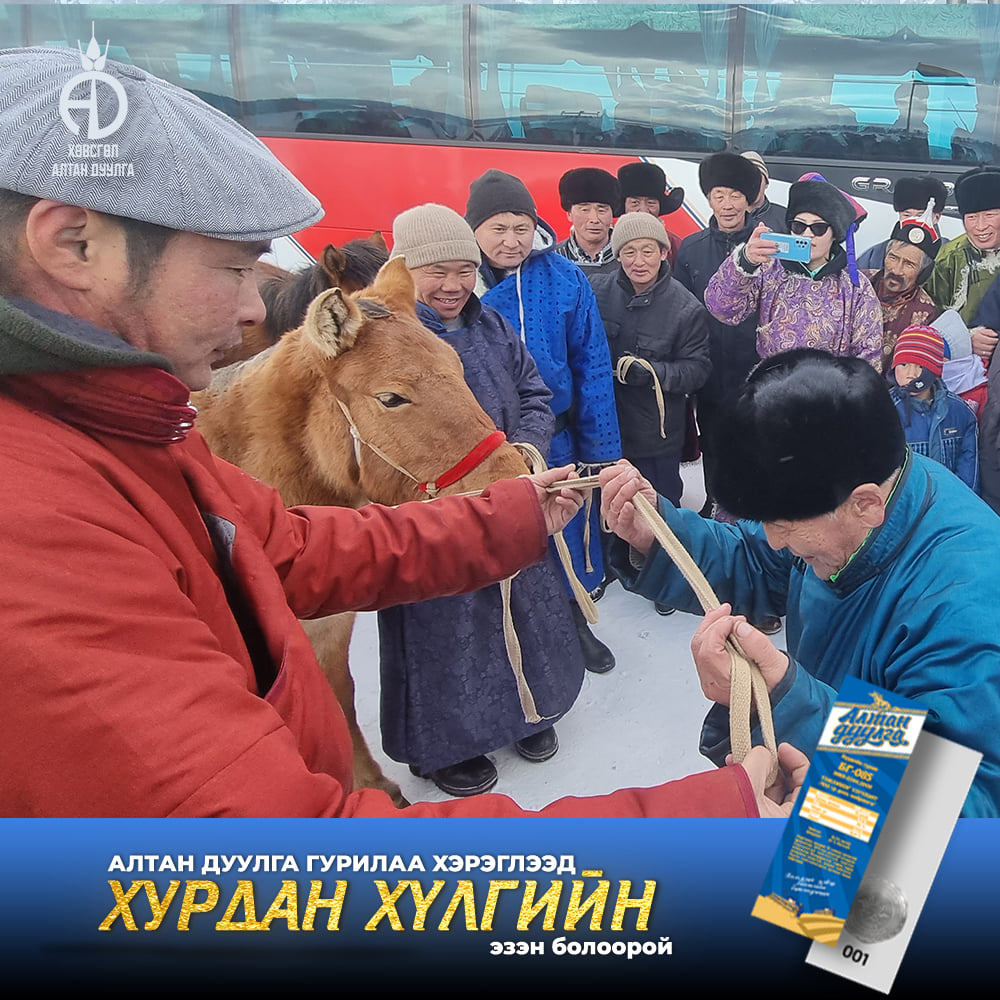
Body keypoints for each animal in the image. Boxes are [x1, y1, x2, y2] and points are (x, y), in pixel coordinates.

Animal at [193, 258, 530, 806]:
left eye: (459, 371)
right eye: (391, 397)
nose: (513, 479)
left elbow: (342, 699)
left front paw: (373, 784)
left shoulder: (331, 631)